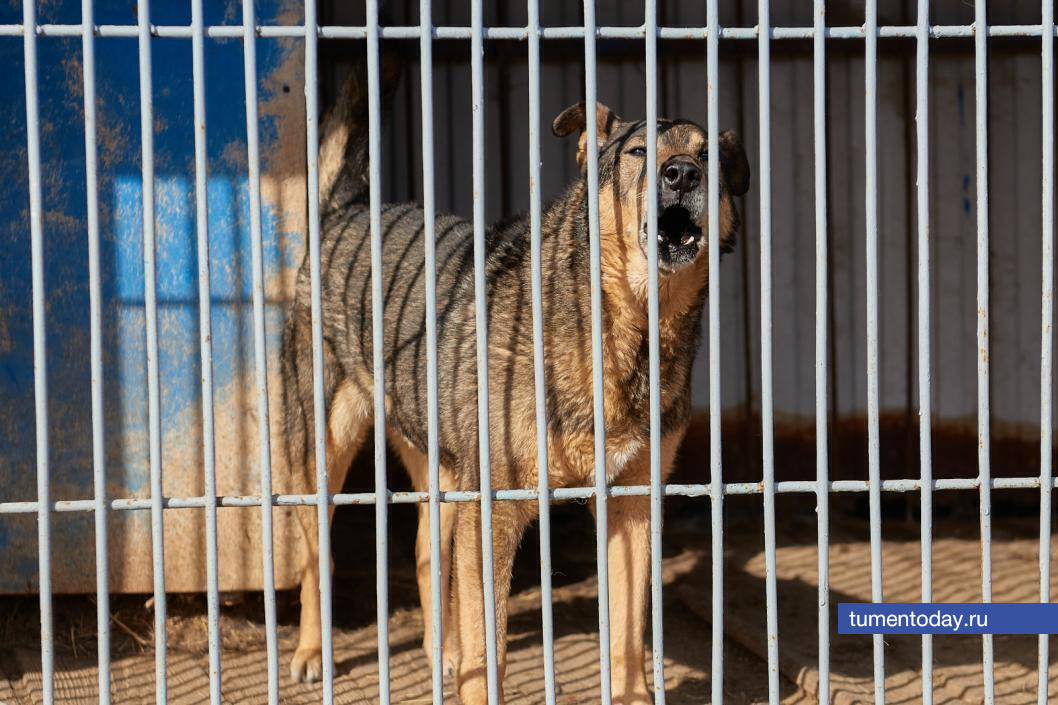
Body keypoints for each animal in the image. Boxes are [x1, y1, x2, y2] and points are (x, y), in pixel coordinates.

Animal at [278, 61, 749, 704]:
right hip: (321, 450)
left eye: (711, 158)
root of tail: (349, 210)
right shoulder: (493, 511)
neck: (626, 327)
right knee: (315, 559)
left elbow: (627, 636)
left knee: (425, 552)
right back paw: (311, 652)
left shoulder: (629, 505)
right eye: (637, 153)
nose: (682, 173)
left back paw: (441, 654)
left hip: (441, 465)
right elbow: (491, 647)